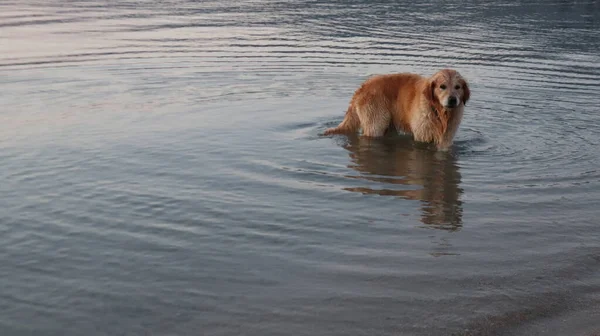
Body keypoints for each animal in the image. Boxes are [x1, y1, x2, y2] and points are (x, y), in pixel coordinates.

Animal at [324, 69, 468, 150]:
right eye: (442, 86)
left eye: (458, 87)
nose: (452, 100)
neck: (439, 112)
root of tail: (362, 87)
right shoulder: (423, 134)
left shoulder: (447, 137)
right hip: (376, 123)